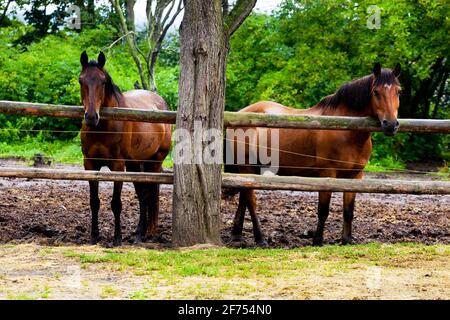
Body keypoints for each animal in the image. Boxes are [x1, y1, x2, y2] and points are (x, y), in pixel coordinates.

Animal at [78, 51, 171, 246]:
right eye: (81, 80)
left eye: (103, 82)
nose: (91, 117)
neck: (102, 128)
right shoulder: (89, 165)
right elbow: (94, 201)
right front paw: (93, 237)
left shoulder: (118, 166)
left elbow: (116, 203)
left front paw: (117, 238)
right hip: (135, 164)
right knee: (142, 194)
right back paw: (140, 233)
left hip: (154, 162)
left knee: (148, 194)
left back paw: (143, 234)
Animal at [227, 63, 402, 248]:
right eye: (376, 92)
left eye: (398, 91)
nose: (391, 124)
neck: (345, 129)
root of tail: (240, 113)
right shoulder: (327, 173)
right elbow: (323, 210)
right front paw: (317, 240)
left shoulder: (355, 175)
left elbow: (348, 211)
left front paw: (346, 240)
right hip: (247, 167)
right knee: (251, 201)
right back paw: (260, 239)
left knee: (244, 198)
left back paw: (237, 234)